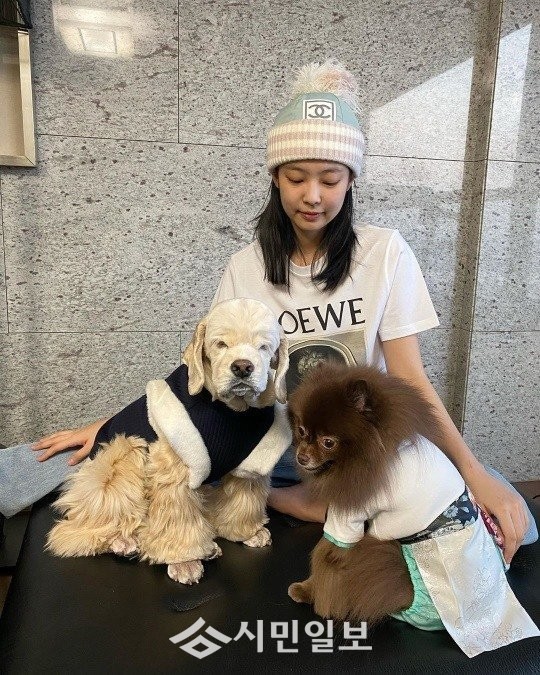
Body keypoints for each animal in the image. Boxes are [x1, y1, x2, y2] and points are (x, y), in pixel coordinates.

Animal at [47, 298, 291, 585]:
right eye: (220, 344)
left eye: (263, 347)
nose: (242, 367)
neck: (232, 411)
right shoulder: (175, 468)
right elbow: (176, 517)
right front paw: (184, 561)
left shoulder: (250, 467)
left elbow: (243, 501)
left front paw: (247, 532)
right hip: (122, 457)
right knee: (76, 532)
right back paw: (124, 543)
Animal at [286, 362, 539, 658]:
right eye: (302, 431)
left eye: (328, 442)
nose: (301, 457)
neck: (373, 449)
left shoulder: (348, 519)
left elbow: (326, 555)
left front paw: (307, 590)